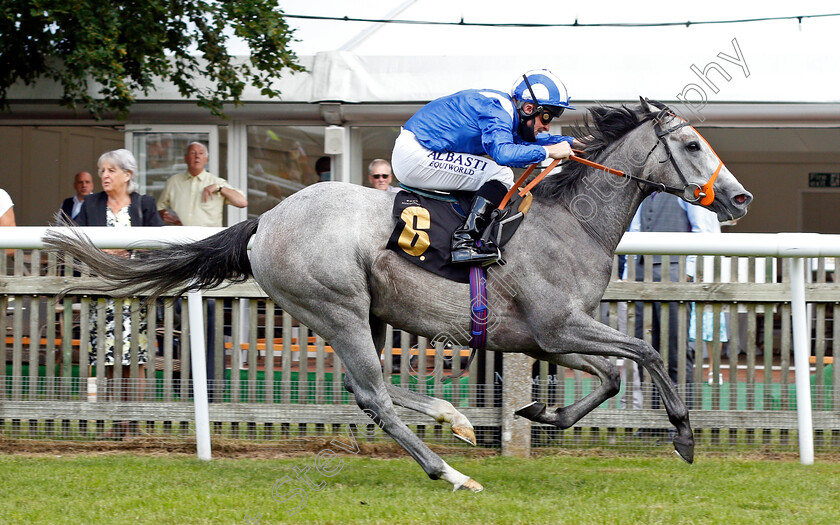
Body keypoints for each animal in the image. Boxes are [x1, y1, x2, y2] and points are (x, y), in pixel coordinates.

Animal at [44, 98, 756, 492]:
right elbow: (648, 352)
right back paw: (451, 473)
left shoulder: (547, 335)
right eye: (691, 143)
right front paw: (684, 435)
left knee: (373, 388)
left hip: (370, 313)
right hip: (337, 308)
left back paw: (456, 420)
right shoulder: (558, 328)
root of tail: (265, 220)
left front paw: (539, 413)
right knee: (373, 397)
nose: (740, 197)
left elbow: (611, 374)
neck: (569, 222)